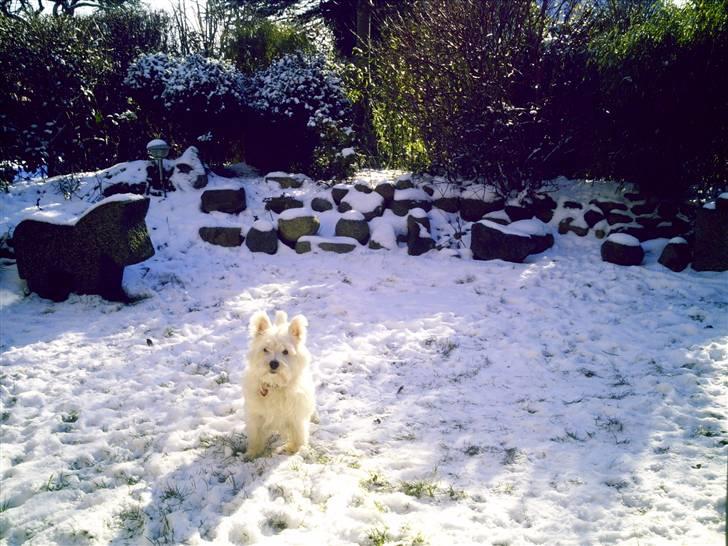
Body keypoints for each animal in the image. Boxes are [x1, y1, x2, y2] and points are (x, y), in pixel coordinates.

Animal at [243, 308, 314, 456]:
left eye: (285, 351)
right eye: (265, 349)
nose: (274, 363)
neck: (275, 385)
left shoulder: (296, 415)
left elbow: (298, 433)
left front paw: (295, 449)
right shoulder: (256, 415)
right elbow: (255, 435)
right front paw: (253, 453)